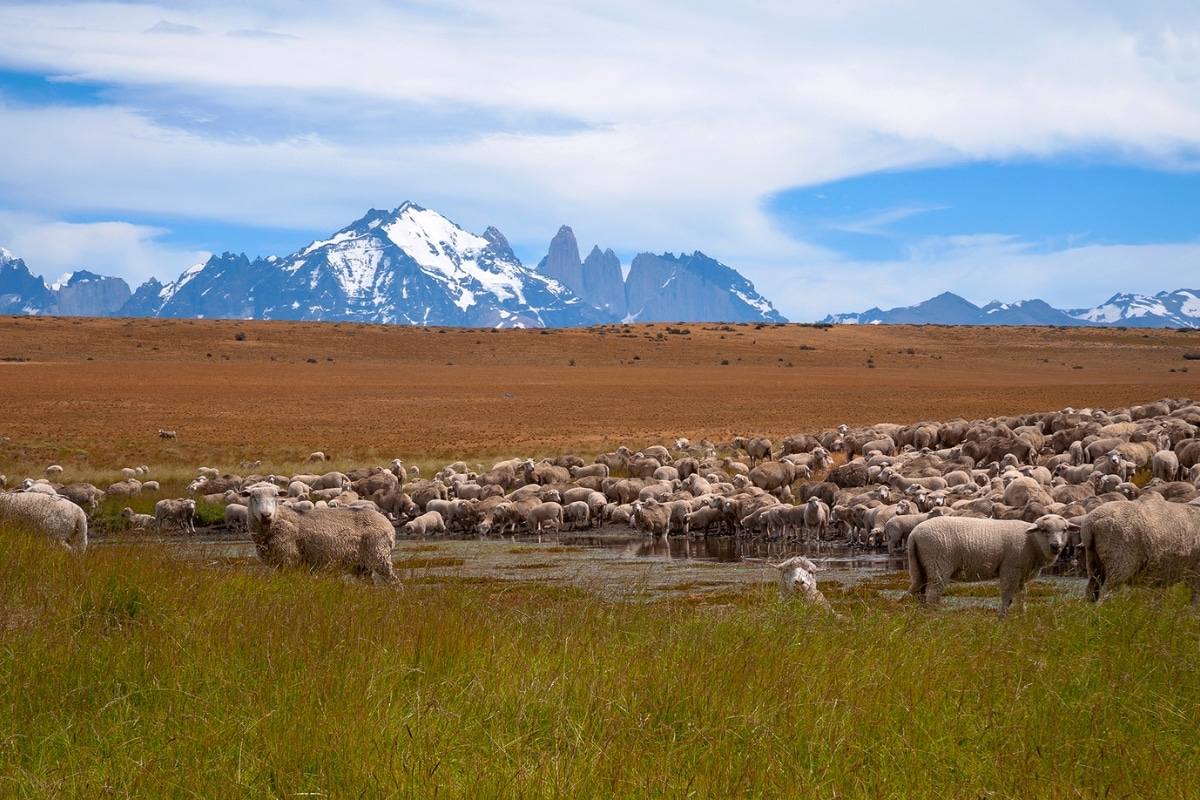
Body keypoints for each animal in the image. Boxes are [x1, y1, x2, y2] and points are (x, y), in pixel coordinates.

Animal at [240, 484, 397, 584]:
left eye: (276, 495)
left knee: (395, 583)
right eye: (252, 496)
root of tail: (389, 525)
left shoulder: (290, 559)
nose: (266, 515)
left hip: (379, 555)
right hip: (362, 566)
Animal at [906, 514, 1077, 618]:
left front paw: (1022, 617)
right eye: (1043, 530)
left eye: (1065, 530)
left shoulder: (1021, 573)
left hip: (920, 567)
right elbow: (1007, 596)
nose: (1056, 546)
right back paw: (934, 618)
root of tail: (914, 534)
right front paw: (1002, 619)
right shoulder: (1010, 569)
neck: (1033, 542)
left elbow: (1022, 596)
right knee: (932, 596)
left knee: (917, 593)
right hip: (938, 565)